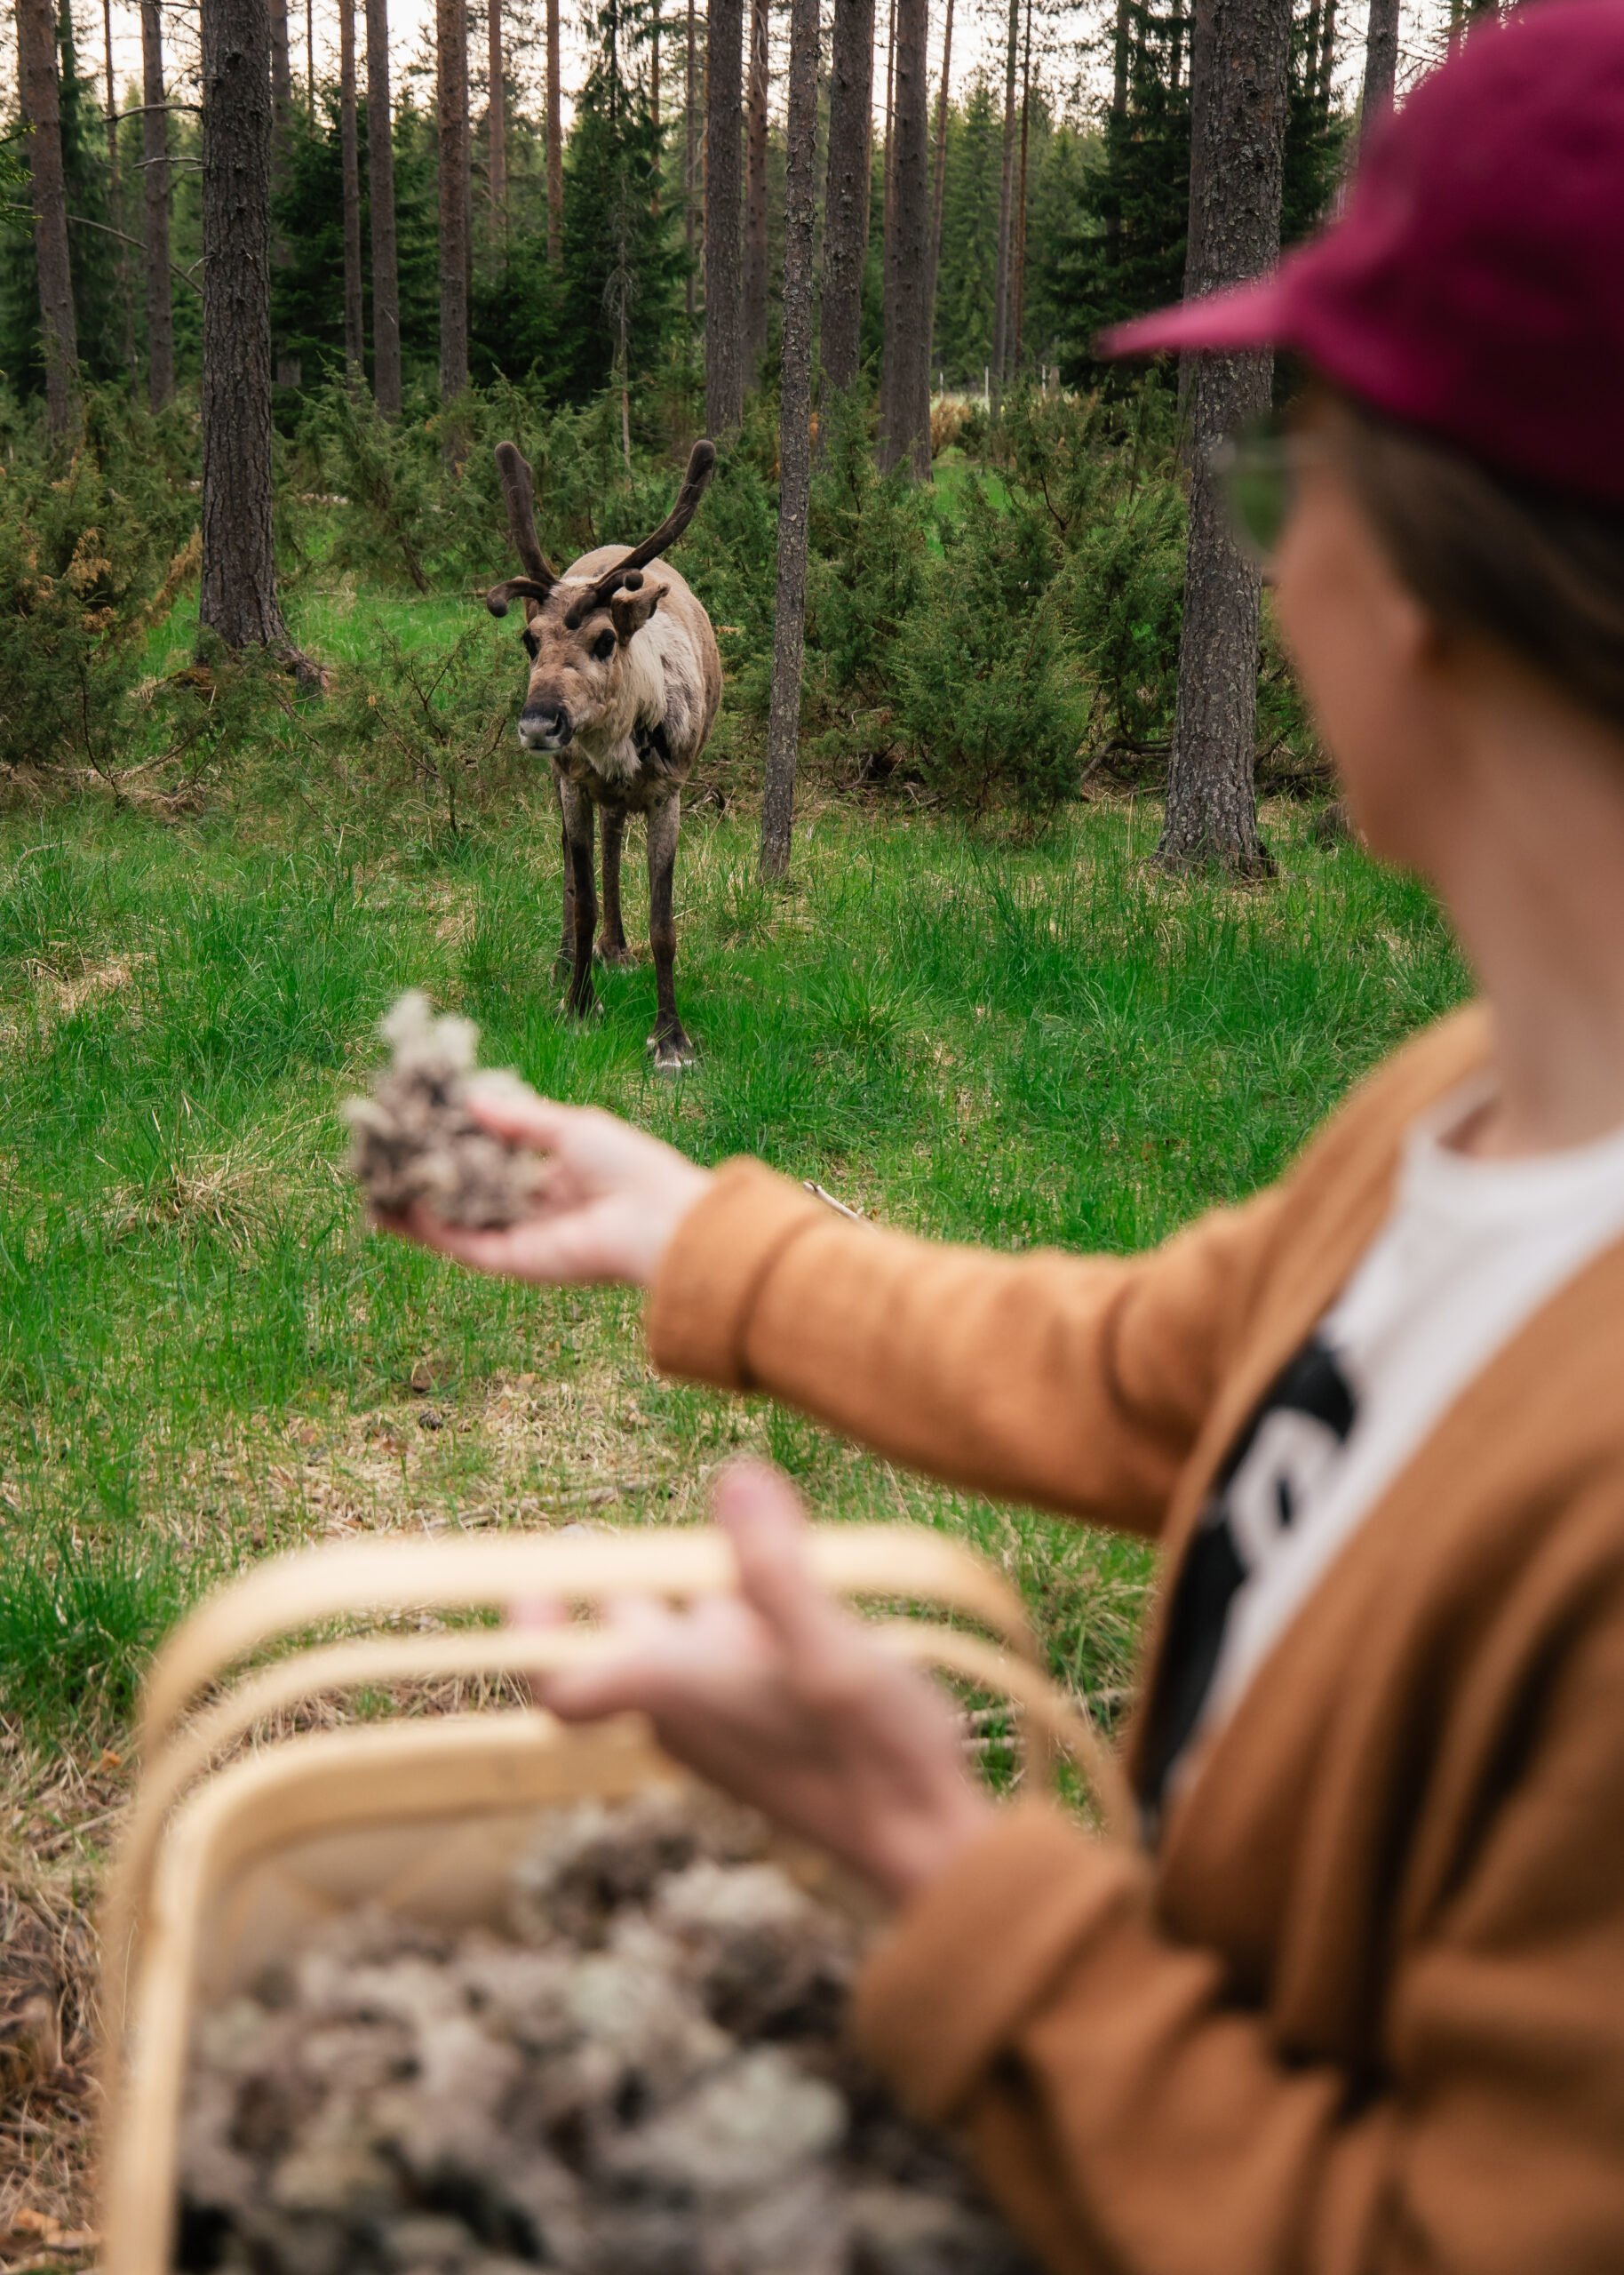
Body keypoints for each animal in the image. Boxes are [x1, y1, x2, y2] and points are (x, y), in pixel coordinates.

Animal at [484, 438, 722, 1071]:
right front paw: (577, 1004)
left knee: (615, 840)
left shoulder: (669, 792)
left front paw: (671, 1039)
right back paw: (573, 957)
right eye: (530, 641)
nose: (539, 723)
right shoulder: (573, 783)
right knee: (576, 868)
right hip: (567, 786)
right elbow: (583, 896)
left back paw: (617, 948)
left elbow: (663, 924)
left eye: (605, 639)